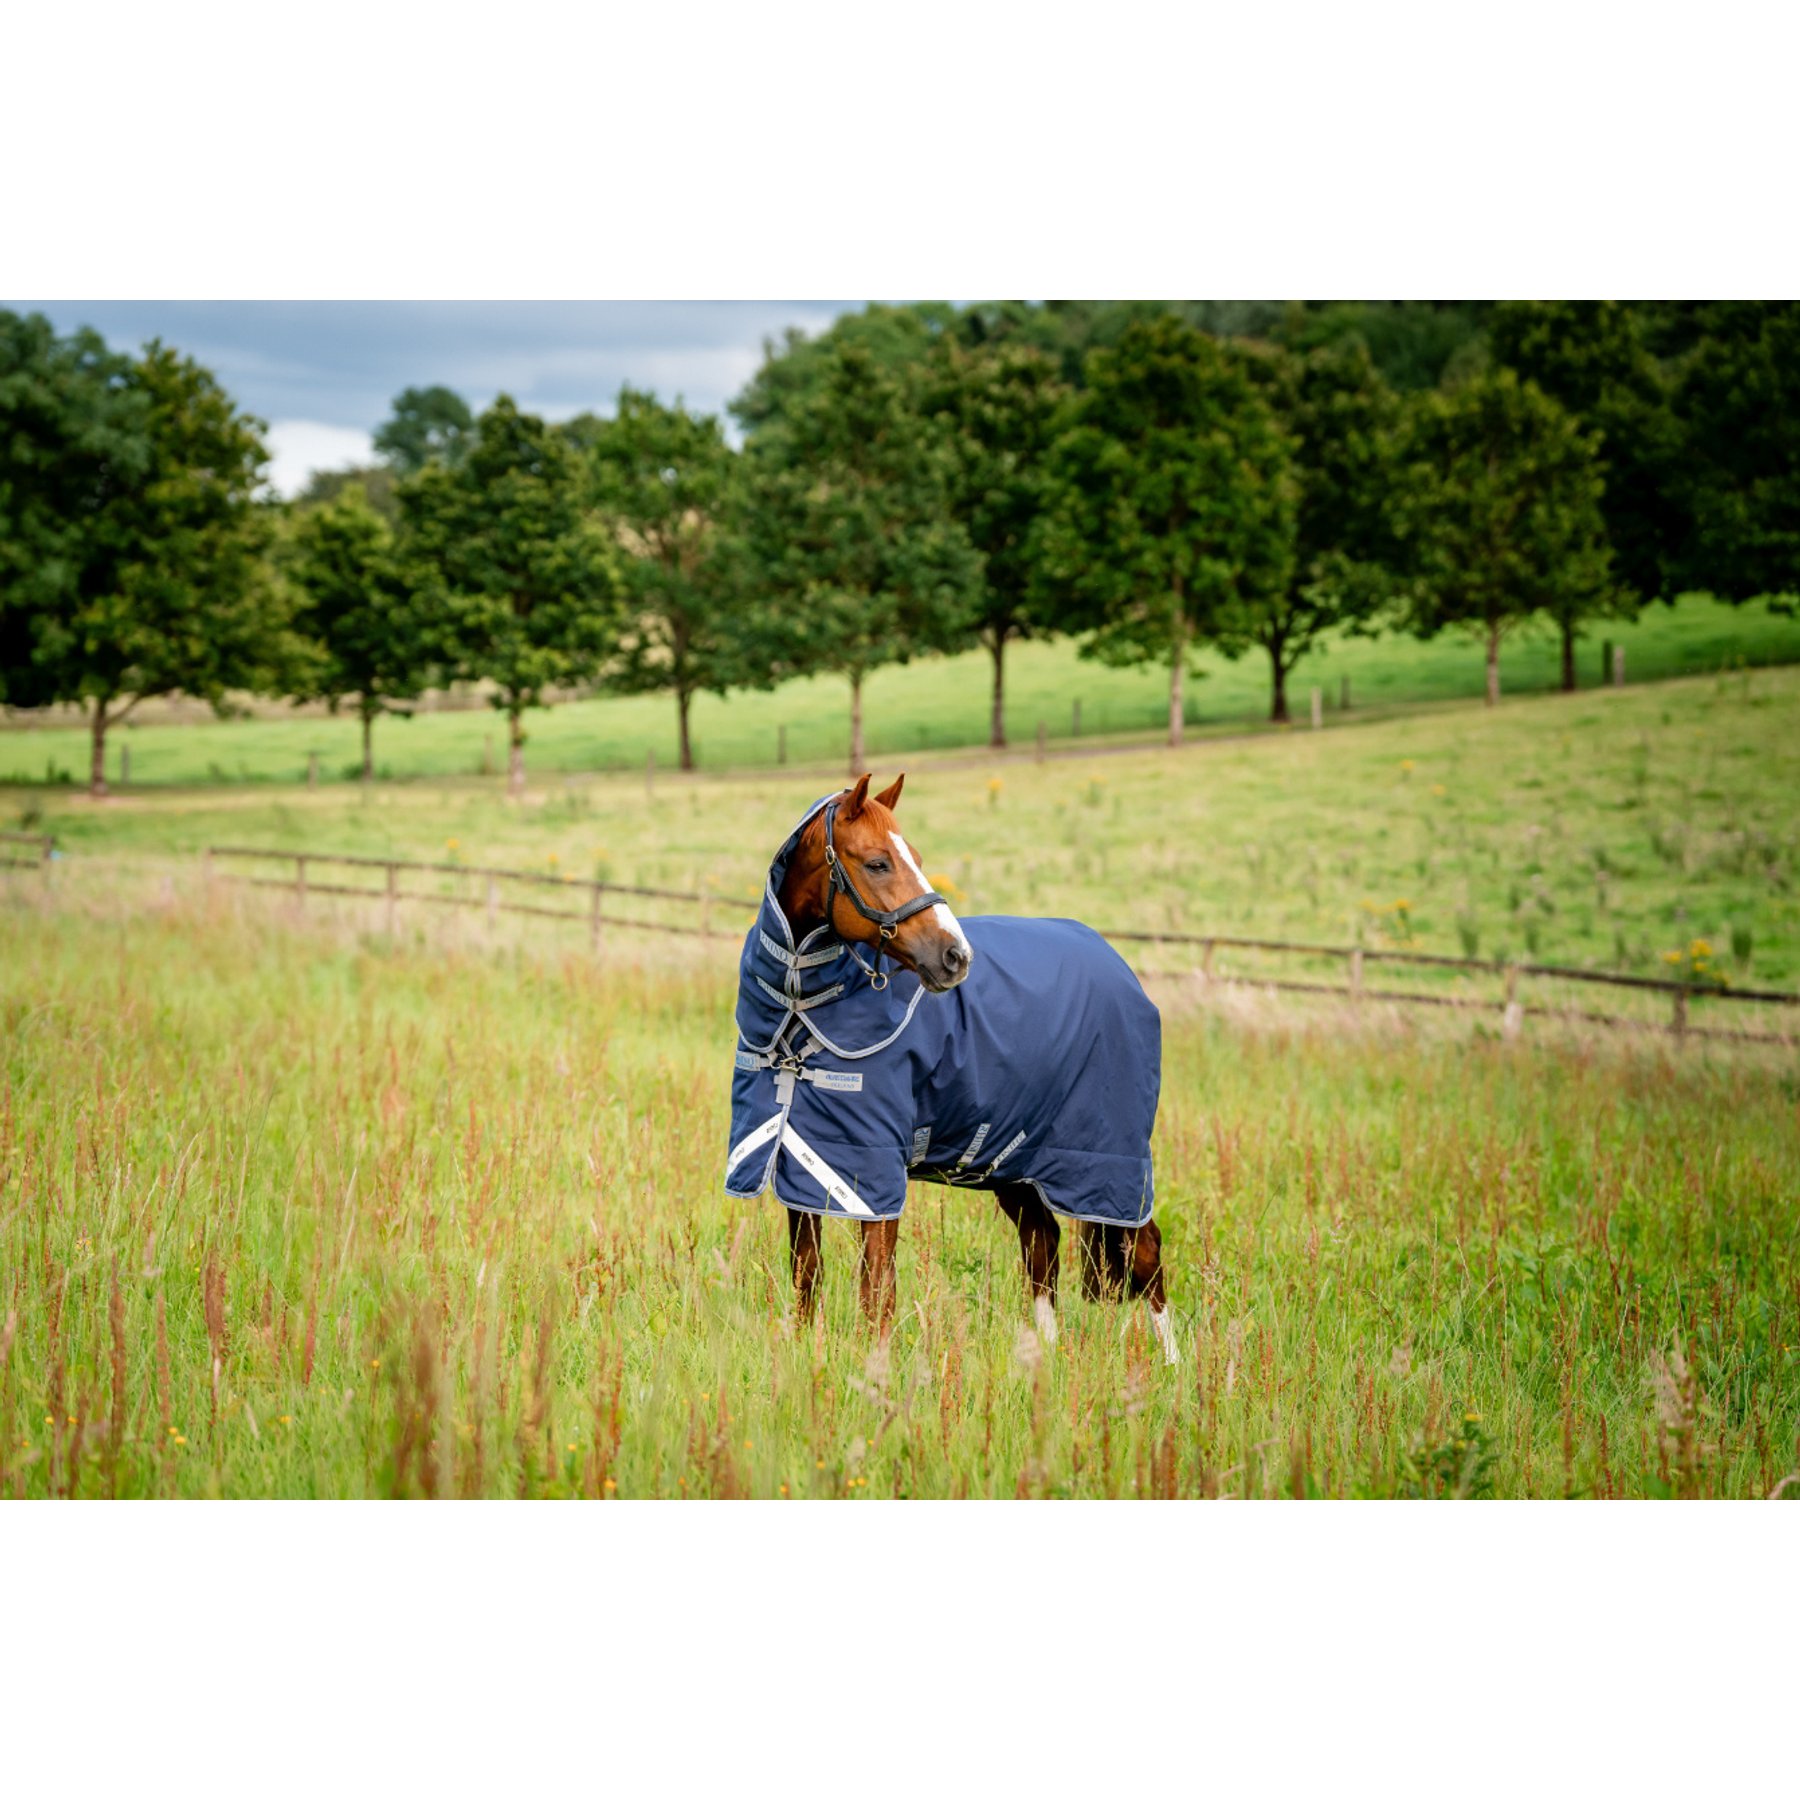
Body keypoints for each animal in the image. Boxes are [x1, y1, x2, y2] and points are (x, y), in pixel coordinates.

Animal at [724, 772, 1176, 1362]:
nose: (956, 957)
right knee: (1042, 1246)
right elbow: (808, 1275)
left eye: (915, 857)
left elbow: (876, 1289)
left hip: (1109, 1164)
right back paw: (1046, 1359)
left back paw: (1174, 1369)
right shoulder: (797, 1159)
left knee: (1145, 1250)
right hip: (1018, 1161)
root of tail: (1122, 971)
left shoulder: (871, 1173)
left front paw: (876, 1372)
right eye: (878, 862)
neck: (803, 1012)